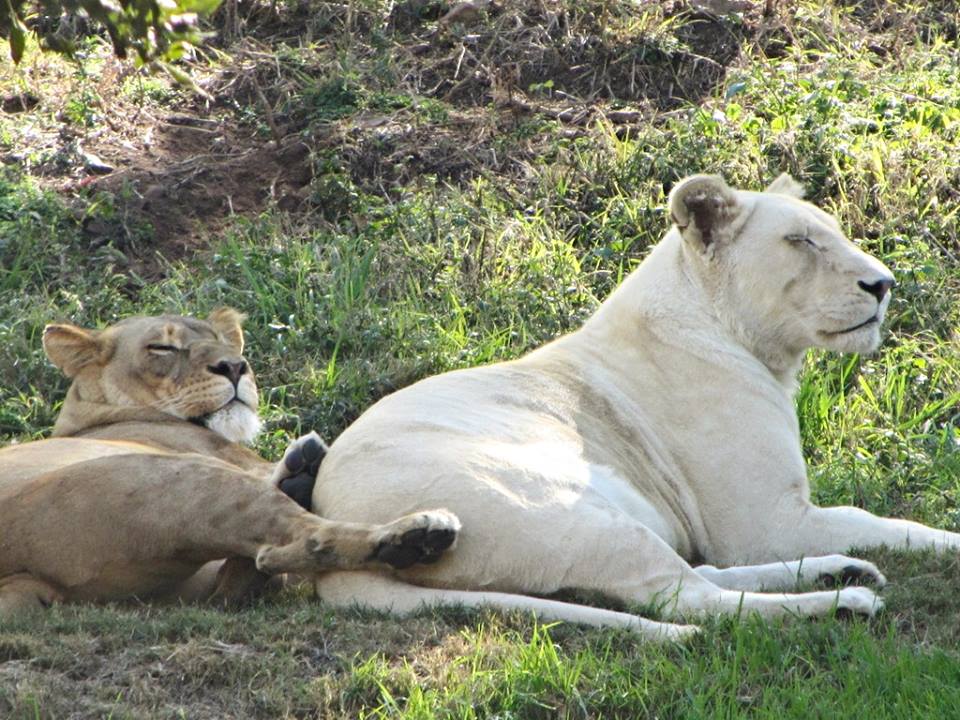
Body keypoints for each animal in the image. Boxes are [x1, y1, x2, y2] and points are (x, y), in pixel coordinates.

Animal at [0, 308, 459, 616]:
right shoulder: (222, 456)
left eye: (223, 343)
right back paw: (416, 534)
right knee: (290, 547)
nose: (236, 366)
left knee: (241, 580)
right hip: (174, 478)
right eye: (162, 347)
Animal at [306, 174, 960, 641]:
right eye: (800, 240)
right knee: (690, 600)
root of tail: (332, 527)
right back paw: (844, 602)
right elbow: (878, 521)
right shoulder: (763, 523)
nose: (884, 284)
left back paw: (841, 571)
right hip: (563, 511)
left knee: (699, 575)